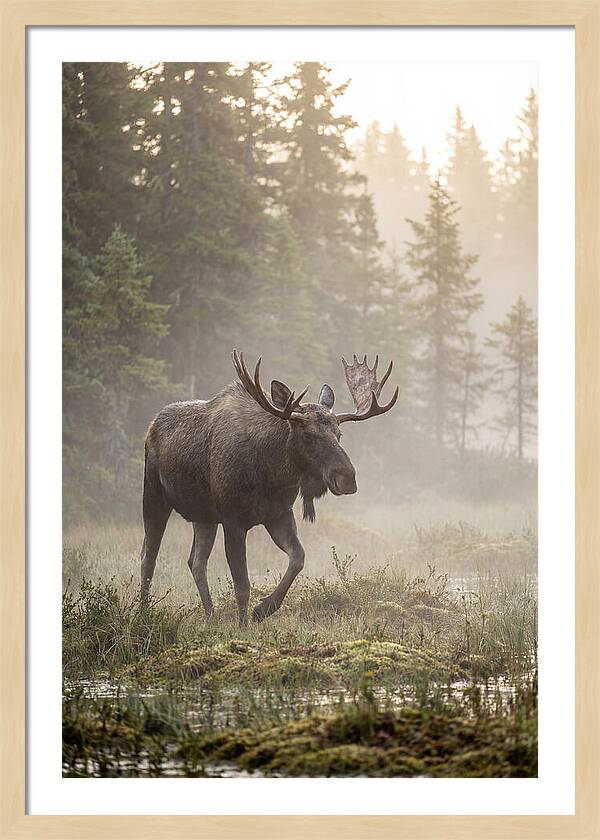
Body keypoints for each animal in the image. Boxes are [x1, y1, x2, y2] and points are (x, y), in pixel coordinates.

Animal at [140, 350, 398, 626]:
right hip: (153, 495)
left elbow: (298, 558)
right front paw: (243, 626)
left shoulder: (278, 514)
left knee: (196, 562)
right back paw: (143, 611)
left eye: (339, 434)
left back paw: (209, 616)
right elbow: (242, 585)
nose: (347, 478)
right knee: (148, 556)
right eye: (308, 435)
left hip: (203, 516)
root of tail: (151, 426)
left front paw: (263, 609)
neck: (271, 474)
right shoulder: (233, 520)